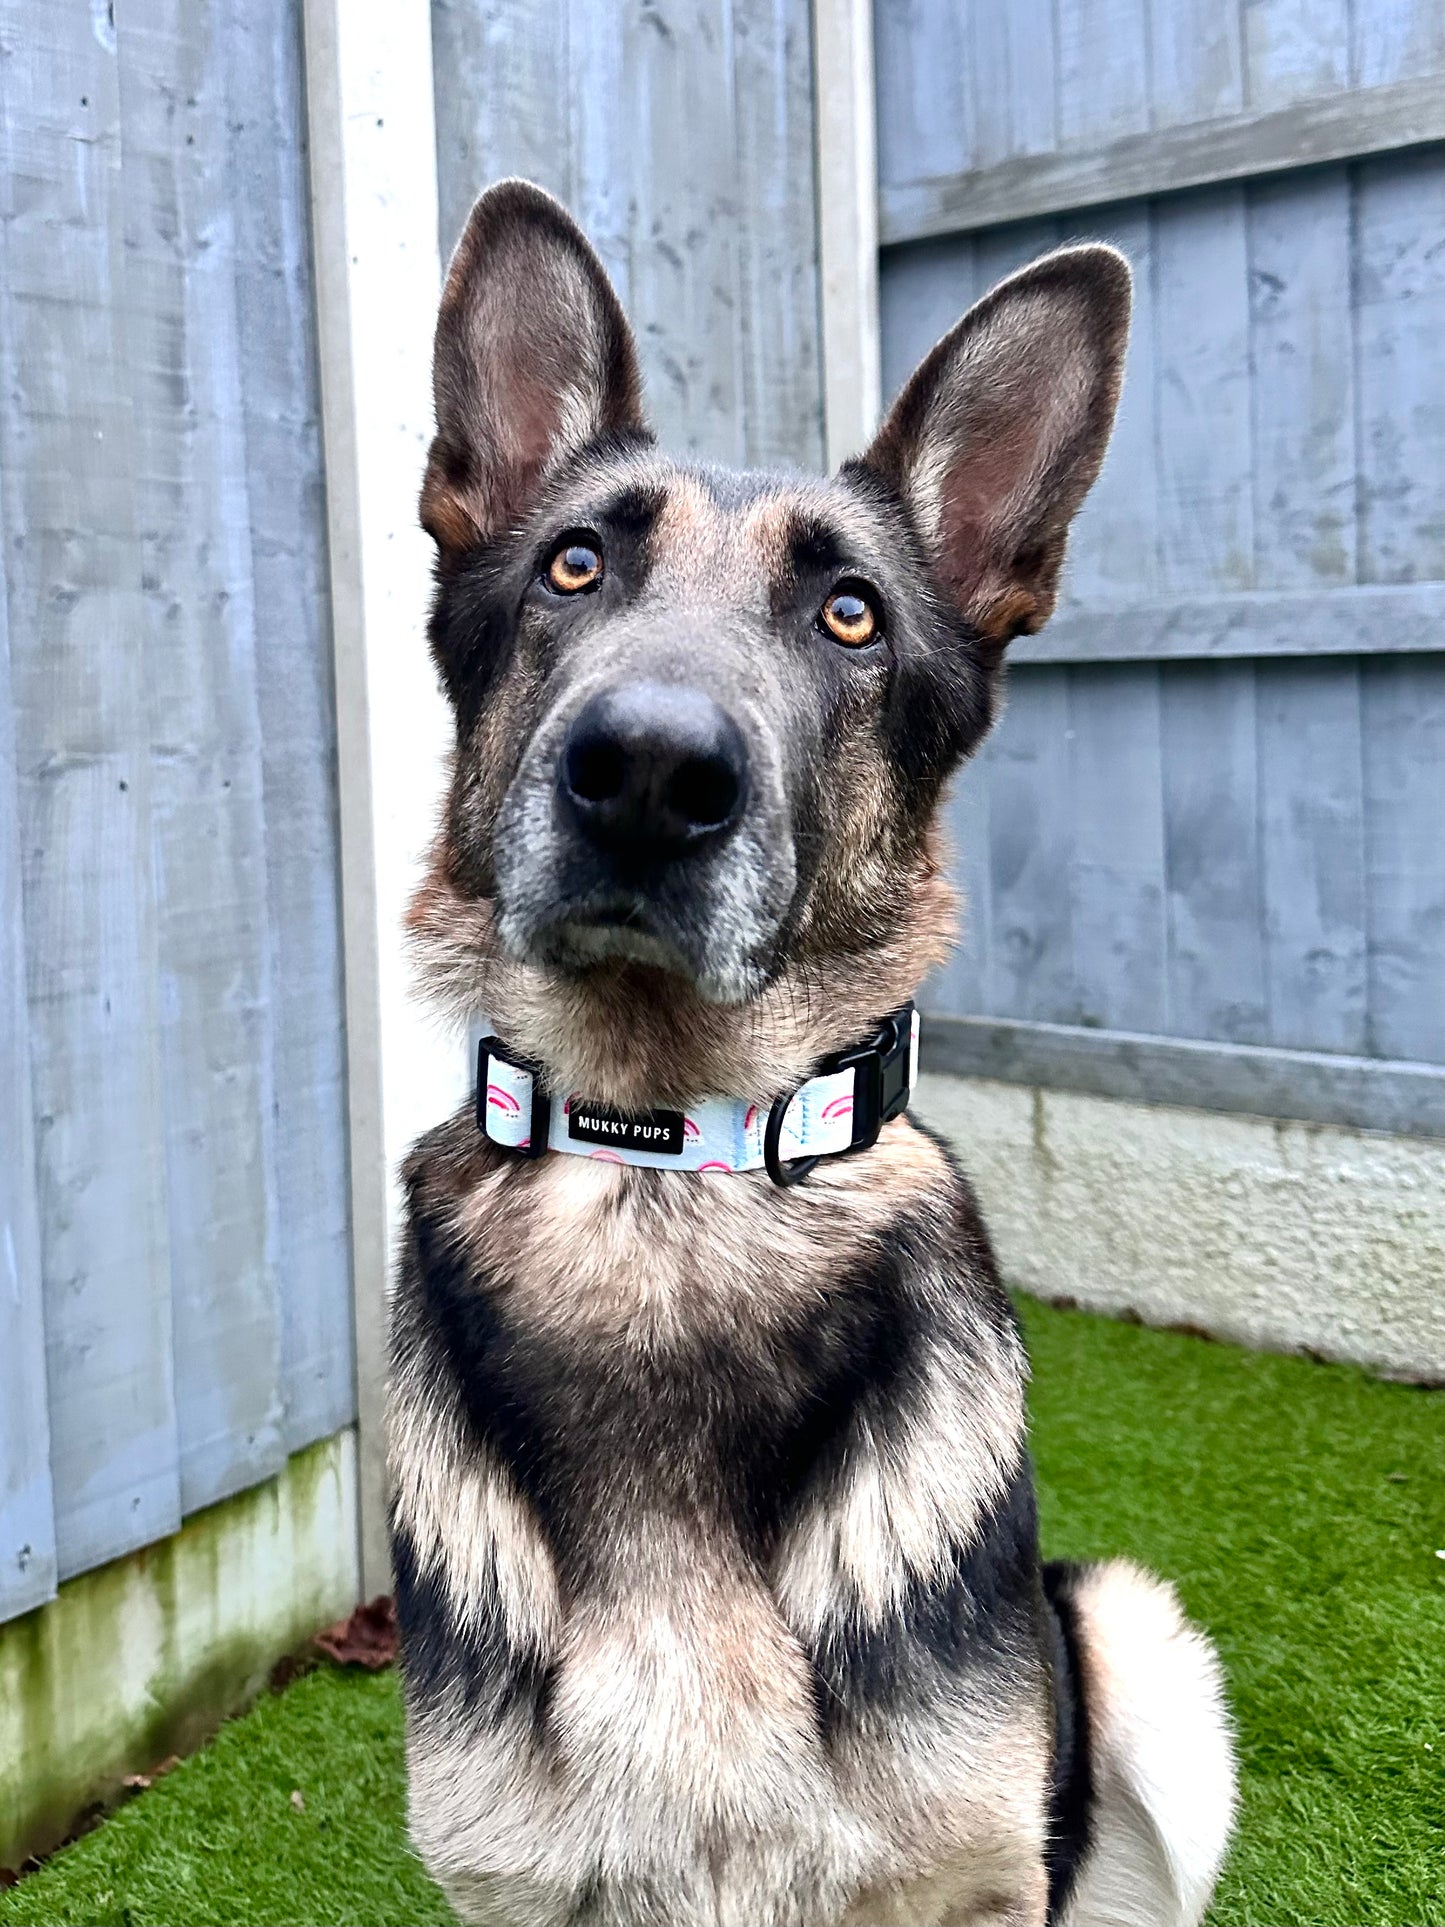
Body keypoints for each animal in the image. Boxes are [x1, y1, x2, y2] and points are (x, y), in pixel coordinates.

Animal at [396, 181, 1248, 1927]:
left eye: (849, 614)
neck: (671, 1162)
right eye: (572, 567)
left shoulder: (968, 1881)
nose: (649, 772)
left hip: (1133, 1643)